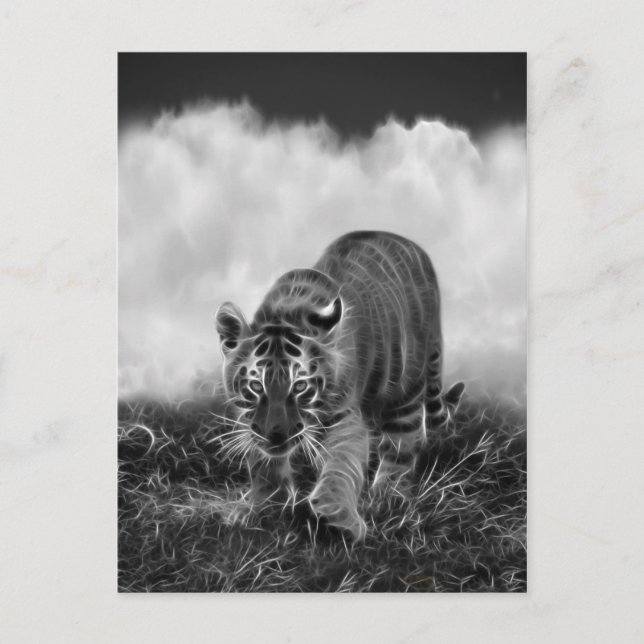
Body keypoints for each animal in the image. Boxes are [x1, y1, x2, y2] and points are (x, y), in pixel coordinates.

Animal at [215, 230, 464, 541]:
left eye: (300, 386)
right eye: (256, 386)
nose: (276, 435)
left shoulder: (344, 416)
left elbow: (341, 464)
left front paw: (339, 518)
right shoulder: (251, 423)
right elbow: (264, 466)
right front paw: (262, 509)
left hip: (406, 389)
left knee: (402, 444)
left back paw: (388, 499)